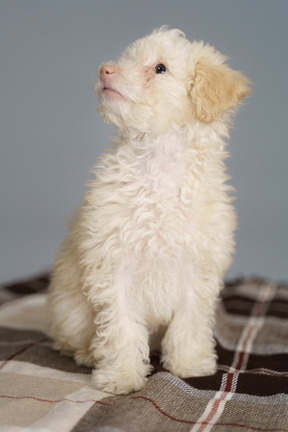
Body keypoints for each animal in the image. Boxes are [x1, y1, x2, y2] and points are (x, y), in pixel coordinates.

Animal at [46, 25, 250, 394]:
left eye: (160, 68)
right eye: (127, 58)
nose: (104, 70)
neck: (159, 165)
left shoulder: (197, 268)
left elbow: (189, 322)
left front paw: (189, 364)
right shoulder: (114, 266)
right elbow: (121, 328)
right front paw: (122, 376)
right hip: (69, 311)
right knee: (67, 337)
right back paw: (87, 353)